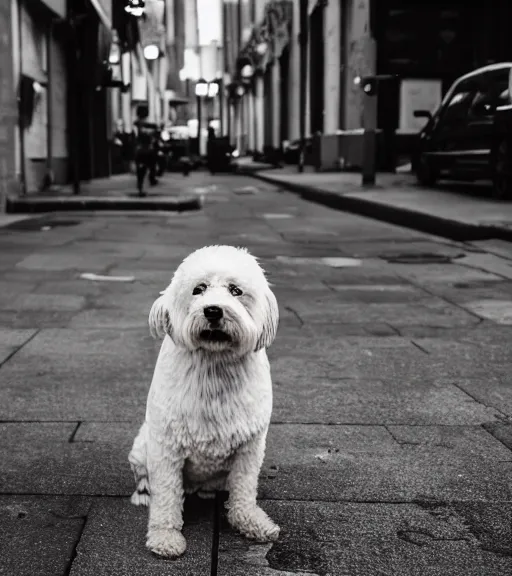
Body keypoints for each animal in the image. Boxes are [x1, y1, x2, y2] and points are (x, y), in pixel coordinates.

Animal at [128, 244, 280, 560]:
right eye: (199, 289)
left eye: (236, 291)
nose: (213, 310)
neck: (215, 364)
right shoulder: (167, 447)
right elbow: (167, 498)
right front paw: (165, 536)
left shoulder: (250, 447)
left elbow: (244, 491)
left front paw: (251, 522)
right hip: (142, 446)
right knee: (147, 478)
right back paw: (144, 492)